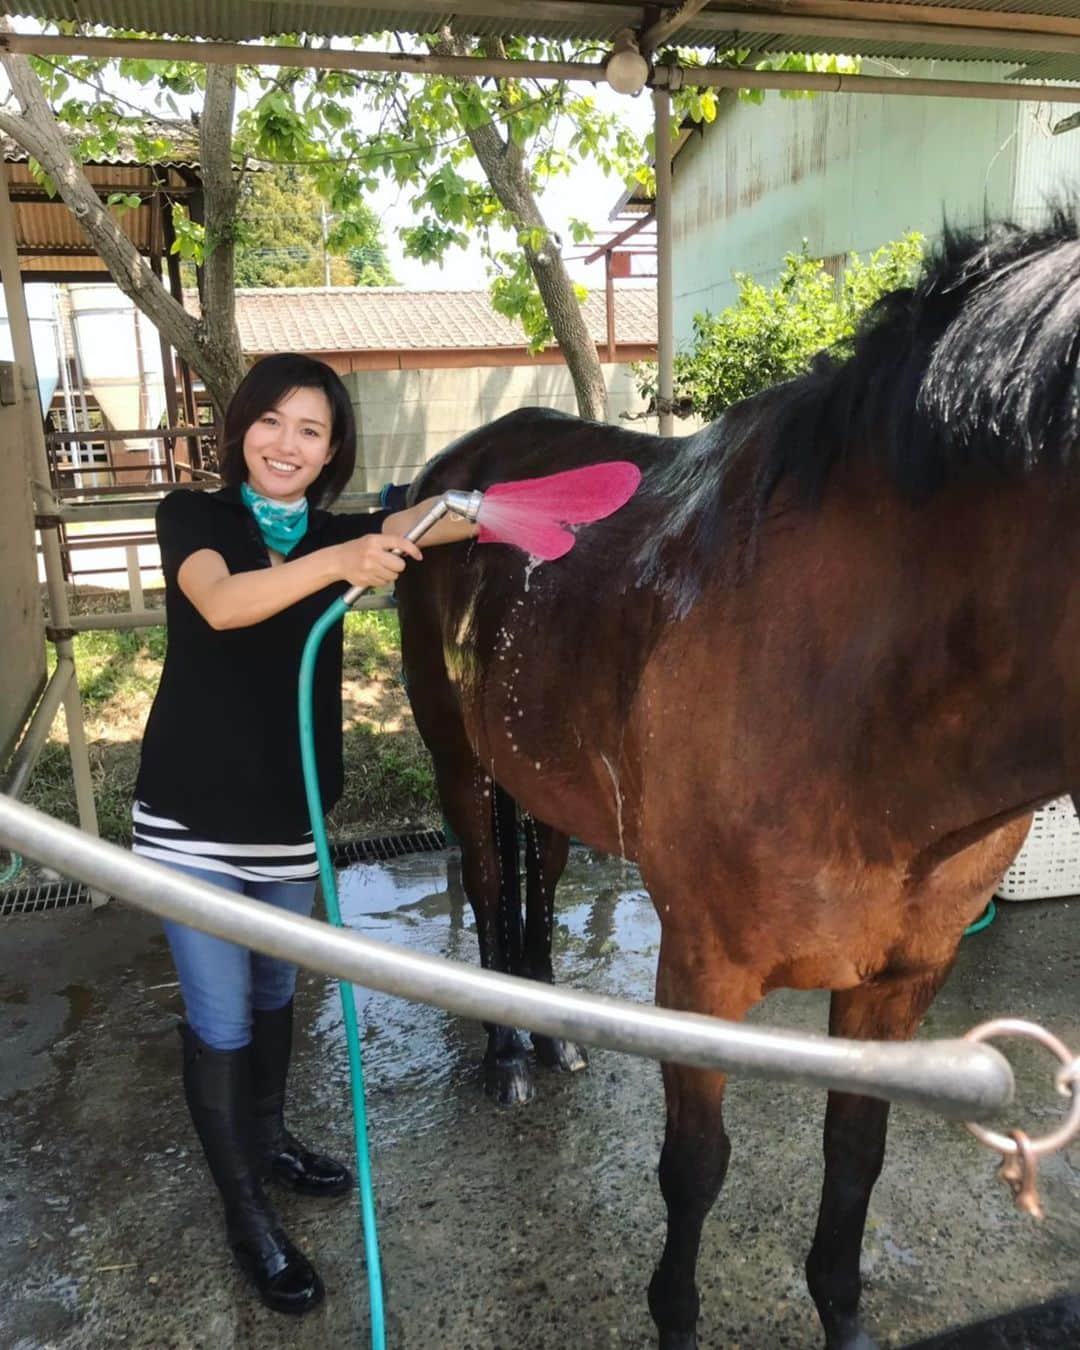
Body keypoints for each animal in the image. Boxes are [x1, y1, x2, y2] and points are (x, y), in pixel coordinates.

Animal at [394, 216, 1080, 1344]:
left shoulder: (903, 980)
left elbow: (856, 1154)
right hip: (455, 754)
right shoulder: (702, 977)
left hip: (539, 770)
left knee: (539, 872)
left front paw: (842, 1314)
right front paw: (675, 1316)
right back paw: (504, 1058)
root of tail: (447, 473)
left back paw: (550, 1034)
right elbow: (695, 1169)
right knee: (491, 886)